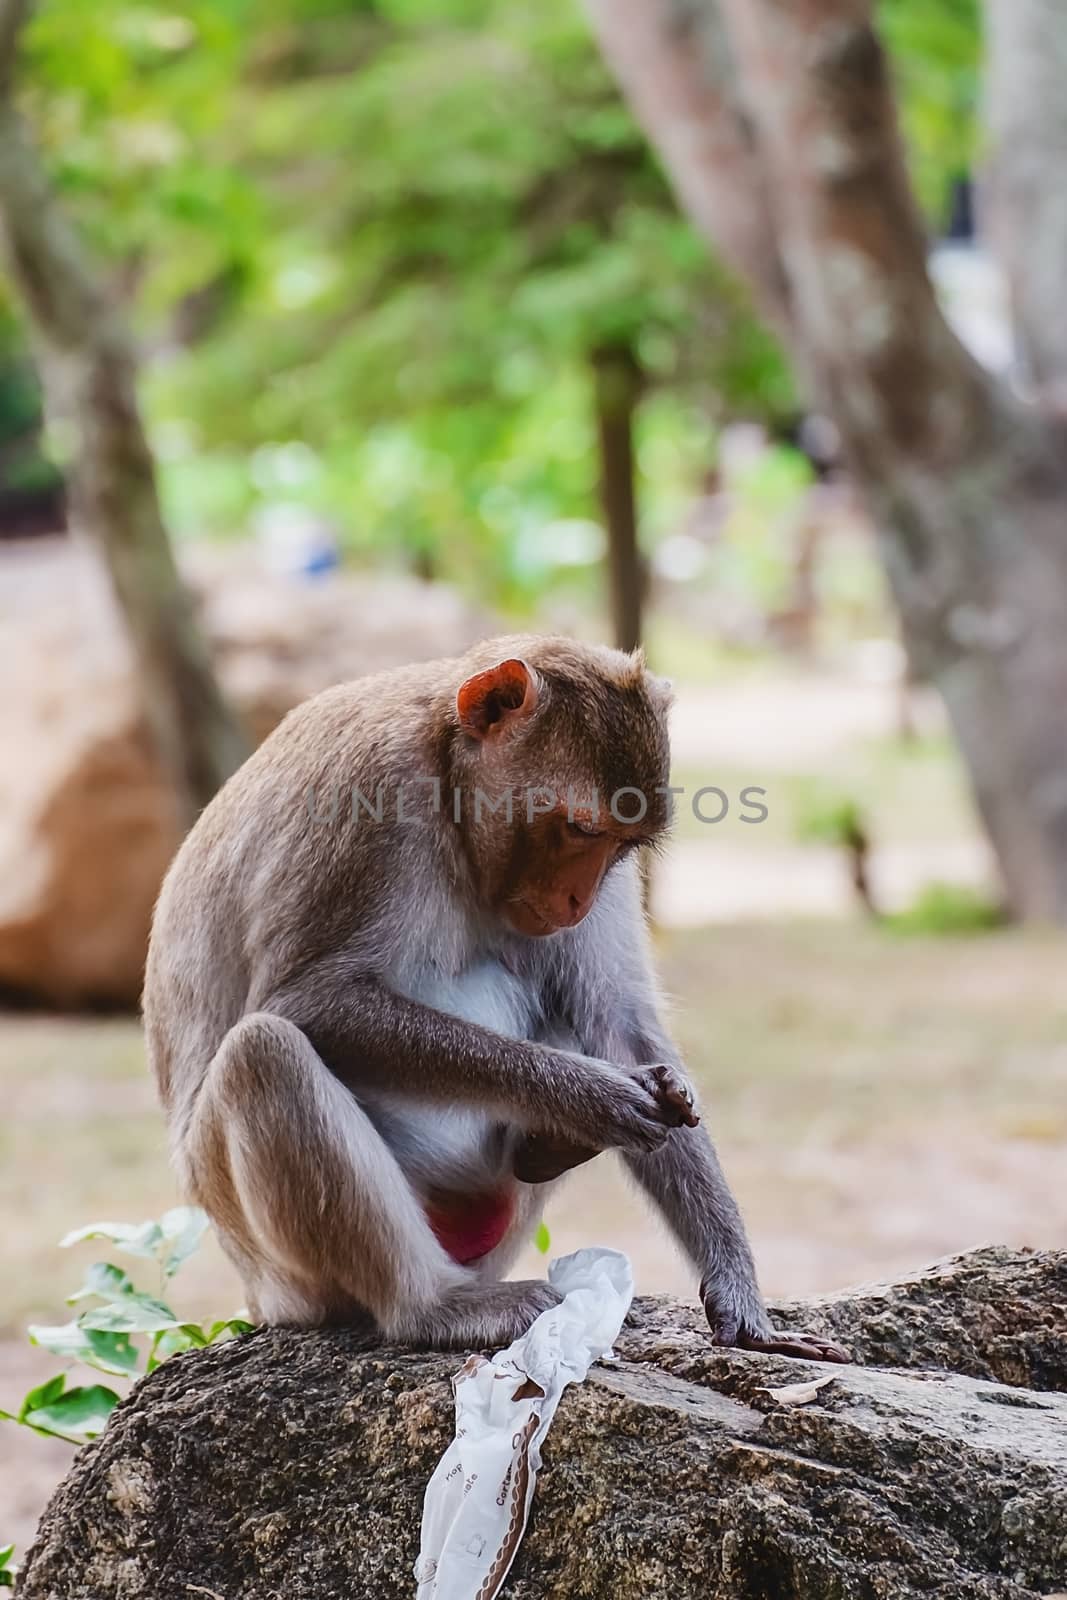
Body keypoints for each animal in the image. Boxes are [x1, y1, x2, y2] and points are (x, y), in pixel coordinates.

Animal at [143, 636, 851, 1363]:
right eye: (578, 829)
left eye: (621, 844)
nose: (578, 897)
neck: (446, 780)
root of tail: (259, 1298)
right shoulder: (367, 795)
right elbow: (306, 1002)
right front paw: (594, 1097)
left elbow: (618, 1024)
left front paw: (739, 1294)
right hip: (278, 1265)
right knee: (265, 1053)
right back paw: (431, 1307)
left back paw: (546, 1149)